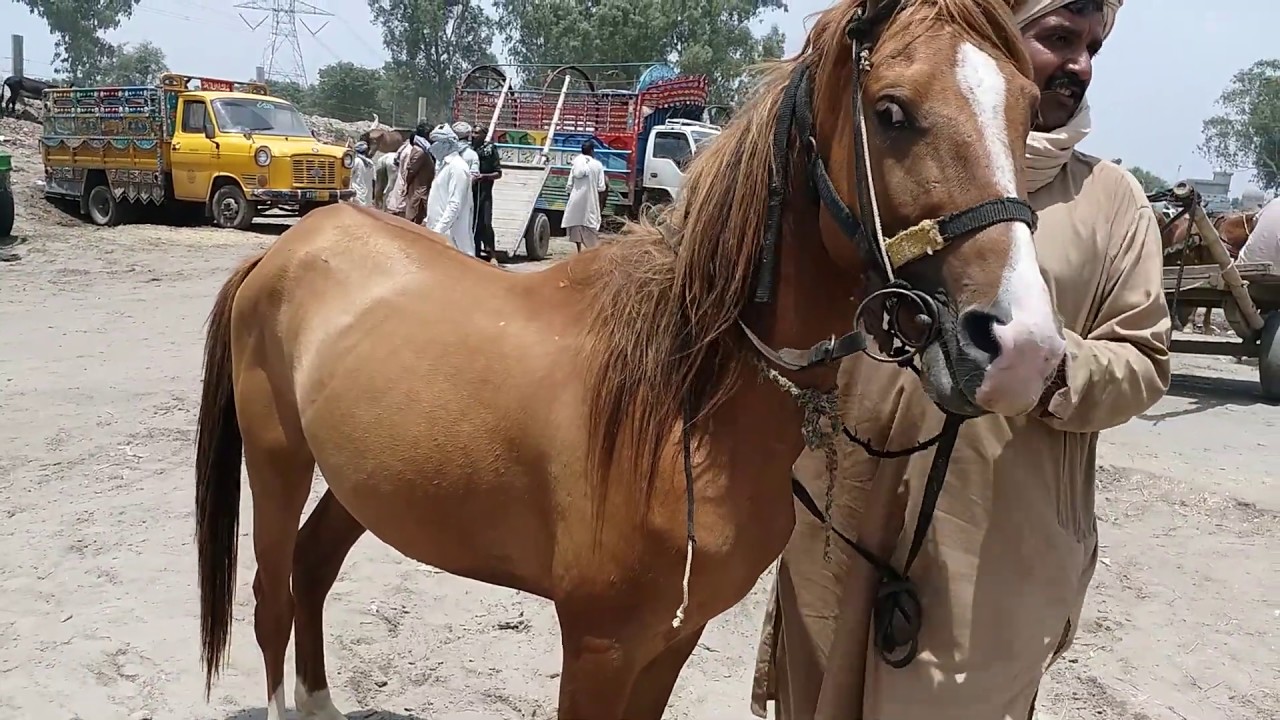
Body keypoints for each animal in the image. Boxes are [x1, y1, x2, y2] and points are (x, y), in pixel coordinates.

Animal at [194, 0, 1063, 717]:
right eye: (891, 111)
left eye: (1028, 111)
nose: (1022, 347)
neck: (682, 400)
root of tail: (285, 251)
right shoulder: (601, 647)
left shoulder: (671, 640)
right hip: (278, 460)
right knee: (272, 594)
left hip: (363, 480)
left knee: (311, 569)